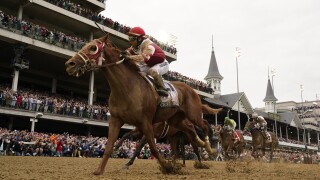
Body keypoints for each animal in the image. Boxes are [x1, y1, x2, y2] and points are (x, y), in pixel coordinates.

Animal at [64, 34, 220, 174]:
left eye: (93, 48)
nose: (69, 64)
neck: (126, 88)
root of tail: (192, 90)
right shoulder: (116, 120)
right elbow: (111, 145)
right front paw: (99, 169)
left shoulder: (146, 123)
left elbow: (152, 149)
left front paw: (167, 167)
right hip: (176, 122)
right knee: (189, 134)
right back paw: (198, 148)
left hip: (193, 114)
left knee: (203, 126)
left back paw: (208, 148)